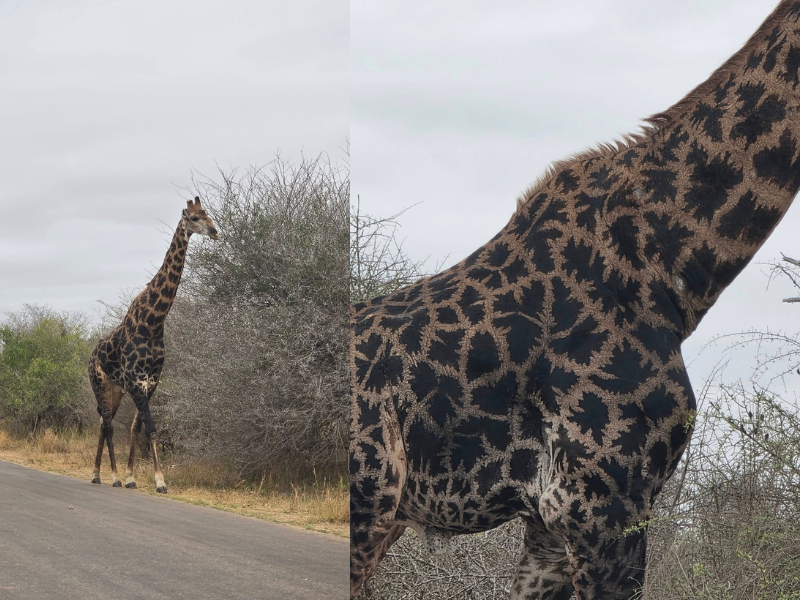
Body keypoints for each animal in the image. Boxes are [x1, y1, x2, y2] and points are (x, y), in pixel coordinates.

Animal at [89, 197, 218, 494]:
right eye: (194, 218)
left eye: (207, 214)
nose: (215, 231)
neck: (153, 321)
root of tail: (89, 357)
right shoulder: (136, 379)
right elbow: (151, 428)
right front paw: (159, 481)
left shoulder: (152, 380)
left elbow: (137, 427)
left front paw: (132, 477)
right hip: (99, 383)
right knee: (107, 424)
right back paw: (110, 476)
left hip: (115, 389)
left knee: (103, 421)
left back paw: (98, 474)